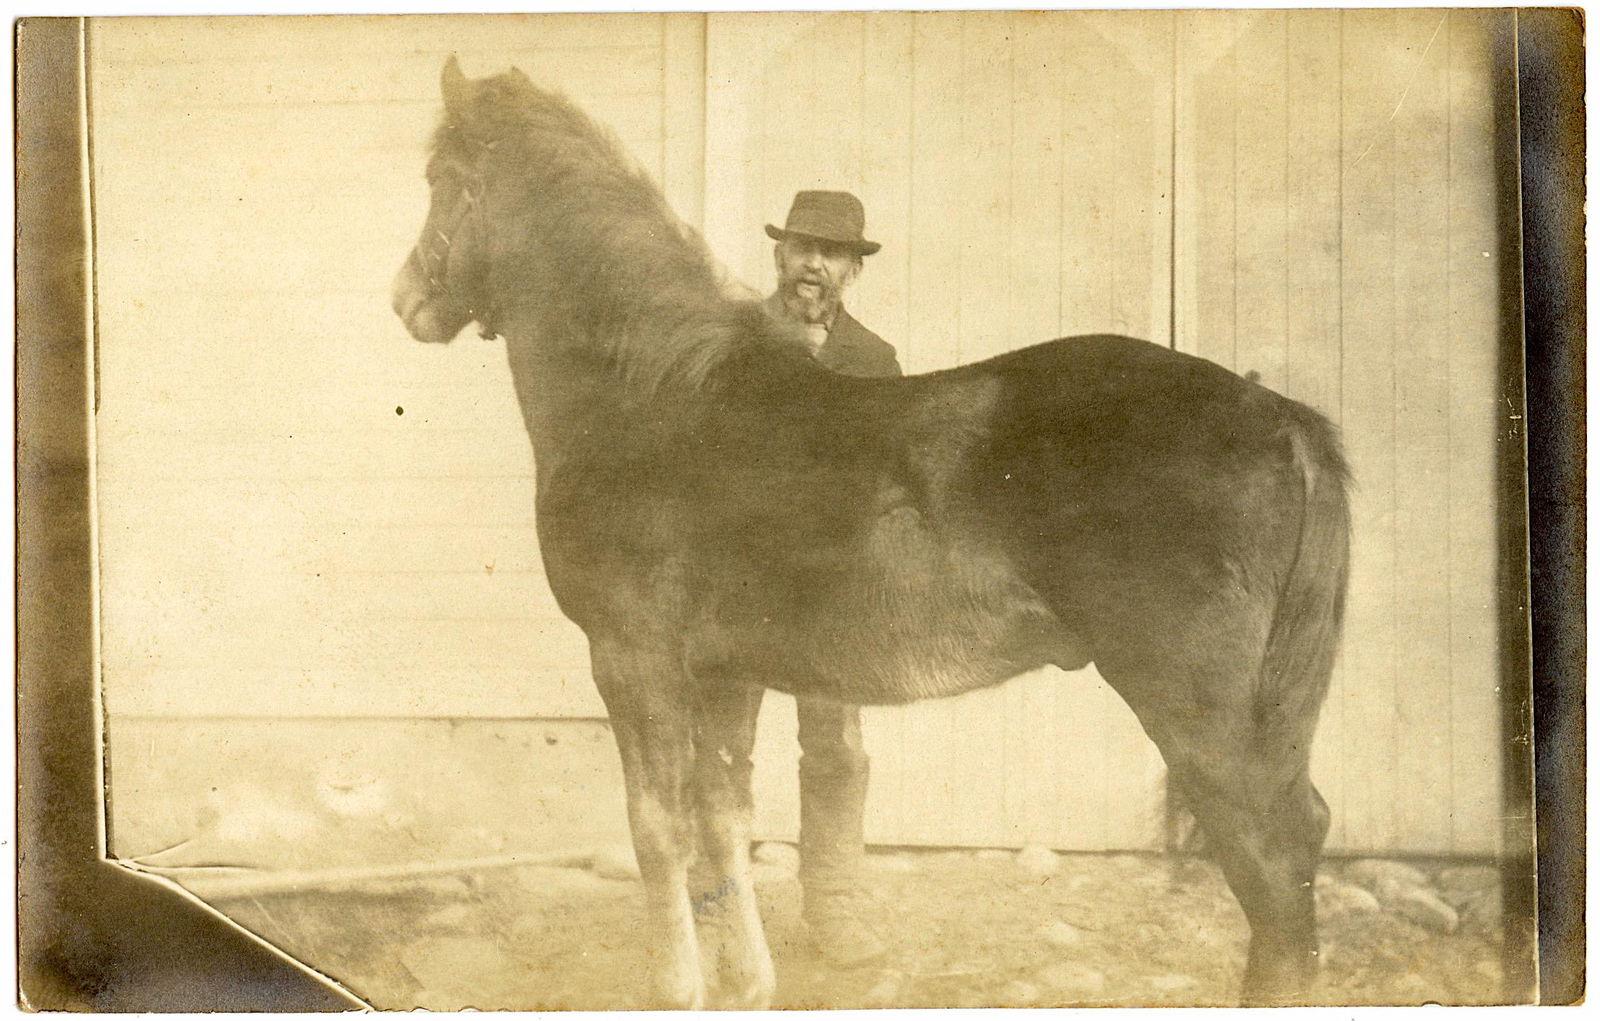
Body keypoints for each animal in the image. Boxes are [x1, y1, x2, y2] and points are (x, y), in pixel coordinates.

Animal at [391, 57, 1352, 1009]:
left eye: (442, 179)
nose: (406, 299)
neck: (653, 393)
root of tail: (1279, 415)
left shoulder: (633, 659)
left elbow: (658, 826)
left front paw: (679, 986)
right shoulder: (725, 673)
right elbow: (723, 814)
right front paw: (747, 981)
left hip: (1199, 712)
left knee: (1271, 856)